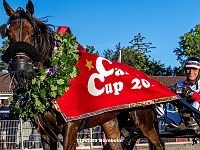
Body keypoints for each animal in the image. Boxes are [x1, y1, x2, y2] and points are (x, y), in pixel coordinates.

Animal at [0, 0, 165, 149]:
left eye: (32, 33)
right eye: (8, 34)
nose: (20, 66)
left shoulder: (70, 128)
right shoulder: (46, 133)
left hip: (143, 123)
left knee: (158, 143)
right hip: (111, 123)